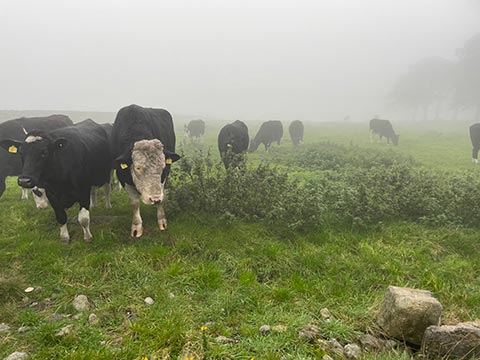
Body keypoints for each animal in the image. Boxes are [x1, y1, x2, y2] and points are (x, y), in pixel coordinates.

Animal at [109, 104, 181, 238]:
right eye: (138, 167)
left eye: (163, 166)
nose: (155, 199)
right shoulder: (122, 176)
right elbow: (134, 203)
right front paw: (136, 227)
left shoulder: (164, 177)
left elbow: (162, 199)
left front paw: (162, 222)